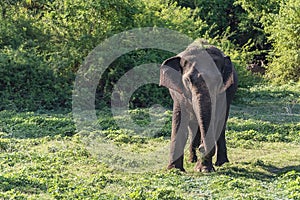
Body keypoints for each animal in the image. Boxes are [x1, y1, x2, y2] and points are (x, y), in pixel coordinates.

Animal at [158, 40, 238, 172]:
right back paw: (192, 159)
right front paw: (174, 170)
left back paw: (221, 163)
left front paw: (204, 169)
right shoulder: (178, 92)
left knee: (221, 124)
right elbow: (179, 120)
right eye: (188, 80)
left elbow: (214, 119)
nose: (201, 147)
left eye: (218, 81)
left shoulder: (223, 93)